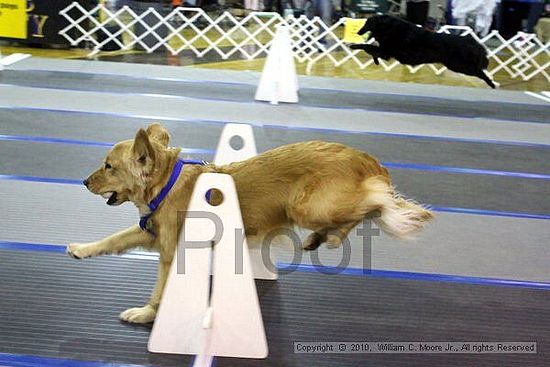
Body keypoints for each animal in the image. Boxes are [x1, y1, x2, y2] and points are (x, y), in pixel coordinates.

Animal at [67, 124, 434, 324]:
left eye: (109, 166)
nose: (84, 181)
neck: (165, 184)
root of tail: (368, 160)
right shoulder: (151, 233)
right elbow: (113, 238)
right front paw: (82, 249)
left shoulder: (171, 252)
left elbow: (158, 291)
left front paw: (146, 314)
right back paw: (319, 239)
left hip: (306, 205)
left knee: (372, 203)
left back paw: (333, 234)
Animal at [352, 15, 498, 89]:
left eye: (367, 22)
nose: (358, 32)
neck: (389, 27)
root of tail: (468, 40)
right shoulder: (384, 52)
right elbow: (371, 50)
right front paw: (375, 61)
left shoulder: (385, 51)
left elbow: (366, 46)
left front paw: (353, 45)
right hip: (457, 65)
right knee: (479, 70)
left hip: (459, 66)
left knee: (480, 72)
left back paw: (492, 83)